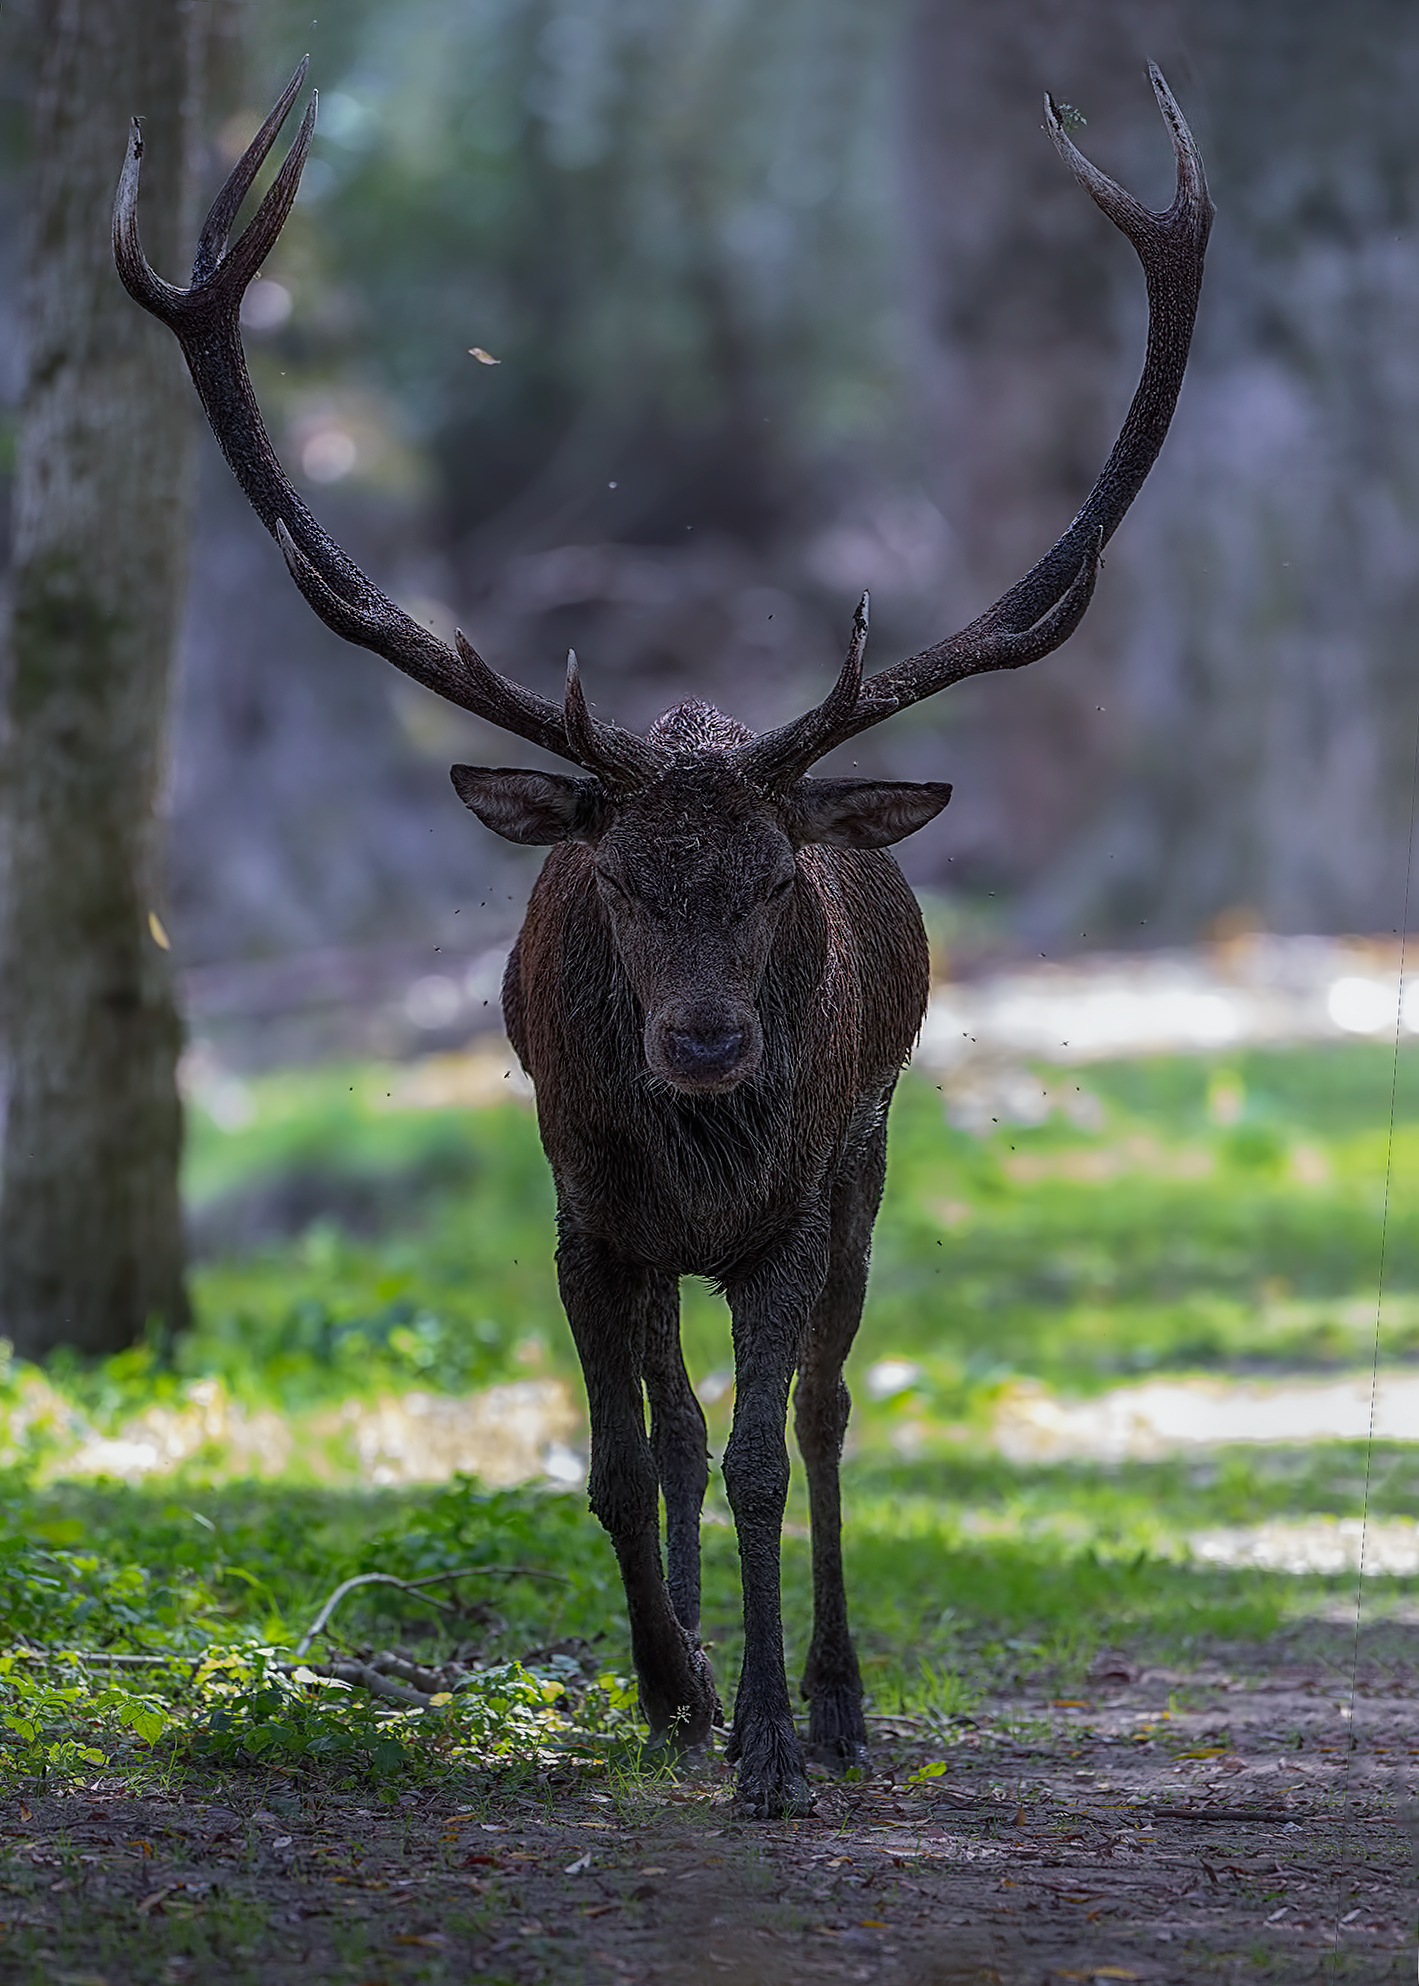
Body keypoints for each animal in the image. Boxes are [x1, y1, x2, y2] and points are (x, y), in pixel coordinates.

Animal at [116, 60, 1210, 1818]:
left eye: (771, 876)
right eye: (618, 879)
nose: (703, 1037)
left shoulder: (791, 1211)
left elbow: (766, 1454)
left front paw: (766, 1730)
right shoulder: (584, 1209)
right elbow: (626, 1458)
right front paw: (667, 1676)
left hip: (864, 1162)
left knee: (822, 1414)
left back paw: (829, 1697)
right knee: (680, 1421)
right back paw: (687, 1676)